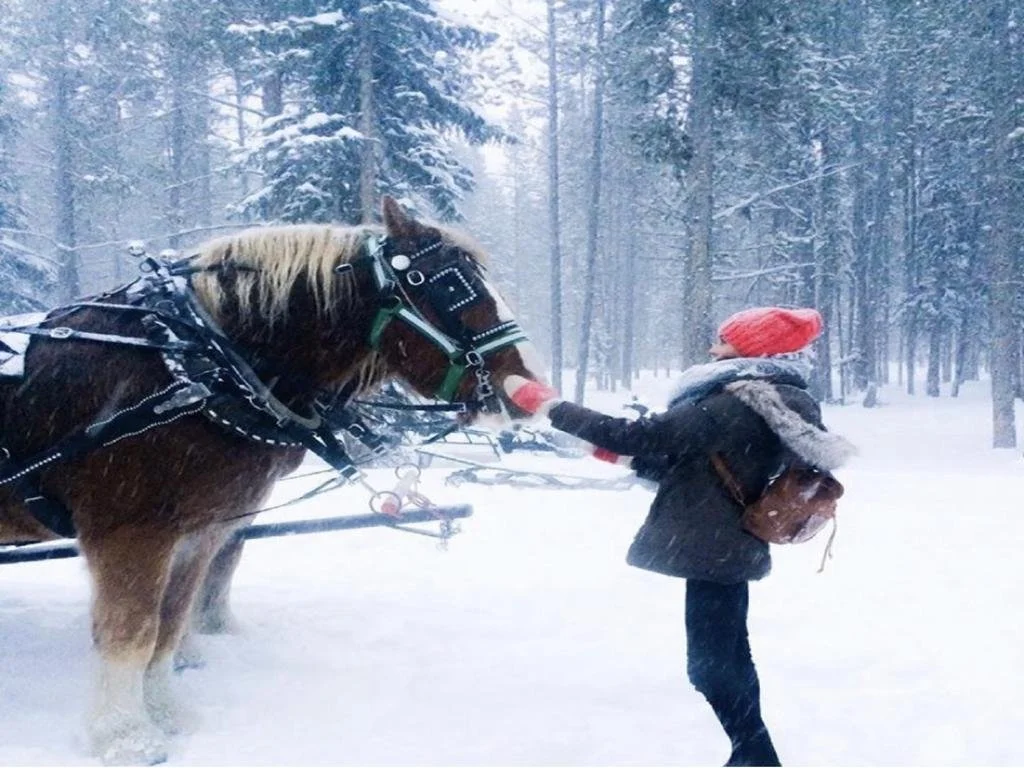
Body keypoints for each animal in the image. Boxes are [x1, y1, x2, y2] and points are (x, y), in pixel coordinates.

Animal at [0, 197, 546, 764]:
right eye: (454, 287)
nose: (532, 389)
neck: (194, 363)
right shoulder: (131, 532)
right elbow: (133, 630)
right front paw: (127, 737)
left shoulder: (197, 531)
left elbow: (170, 624)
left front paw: (168, 712)